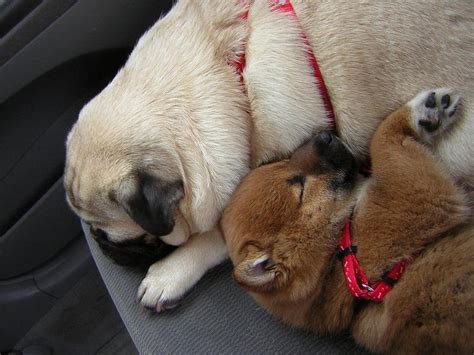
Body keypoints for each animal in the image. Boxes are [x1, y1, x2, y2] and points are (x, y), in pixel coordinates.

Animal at [222, 88, 474, 354]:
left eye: (280, 162)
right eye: (300, 187)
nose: (325, 136)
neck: (337, 261)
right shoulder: (417, 194)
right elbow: (382, 138)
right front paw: (425, 111)